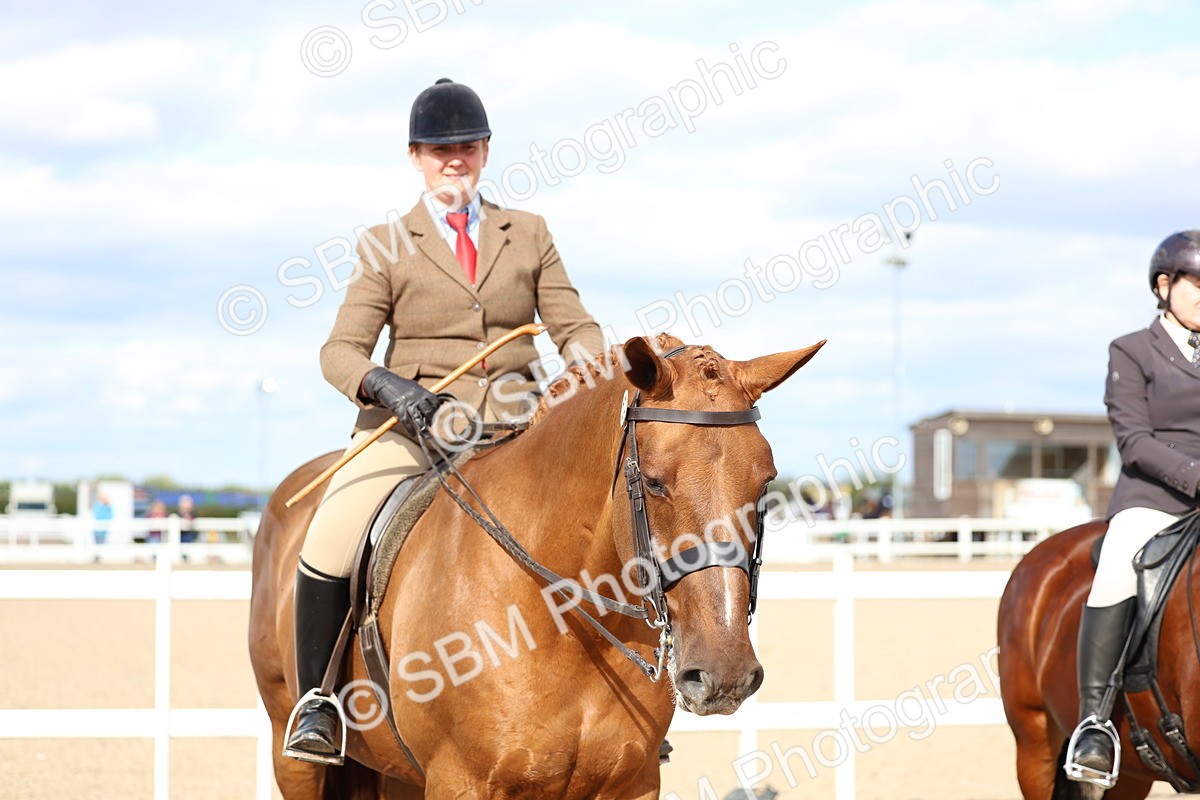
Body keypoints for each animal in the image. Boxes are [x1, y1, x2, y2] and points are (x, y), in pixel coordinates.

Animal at [249, 333, 826, 799]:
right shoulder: (462, 782)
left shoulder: (632, 782)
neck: (563, 623)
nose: (725, 676)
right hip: (290, 750)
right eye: (655, 482)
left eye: (765, 481)